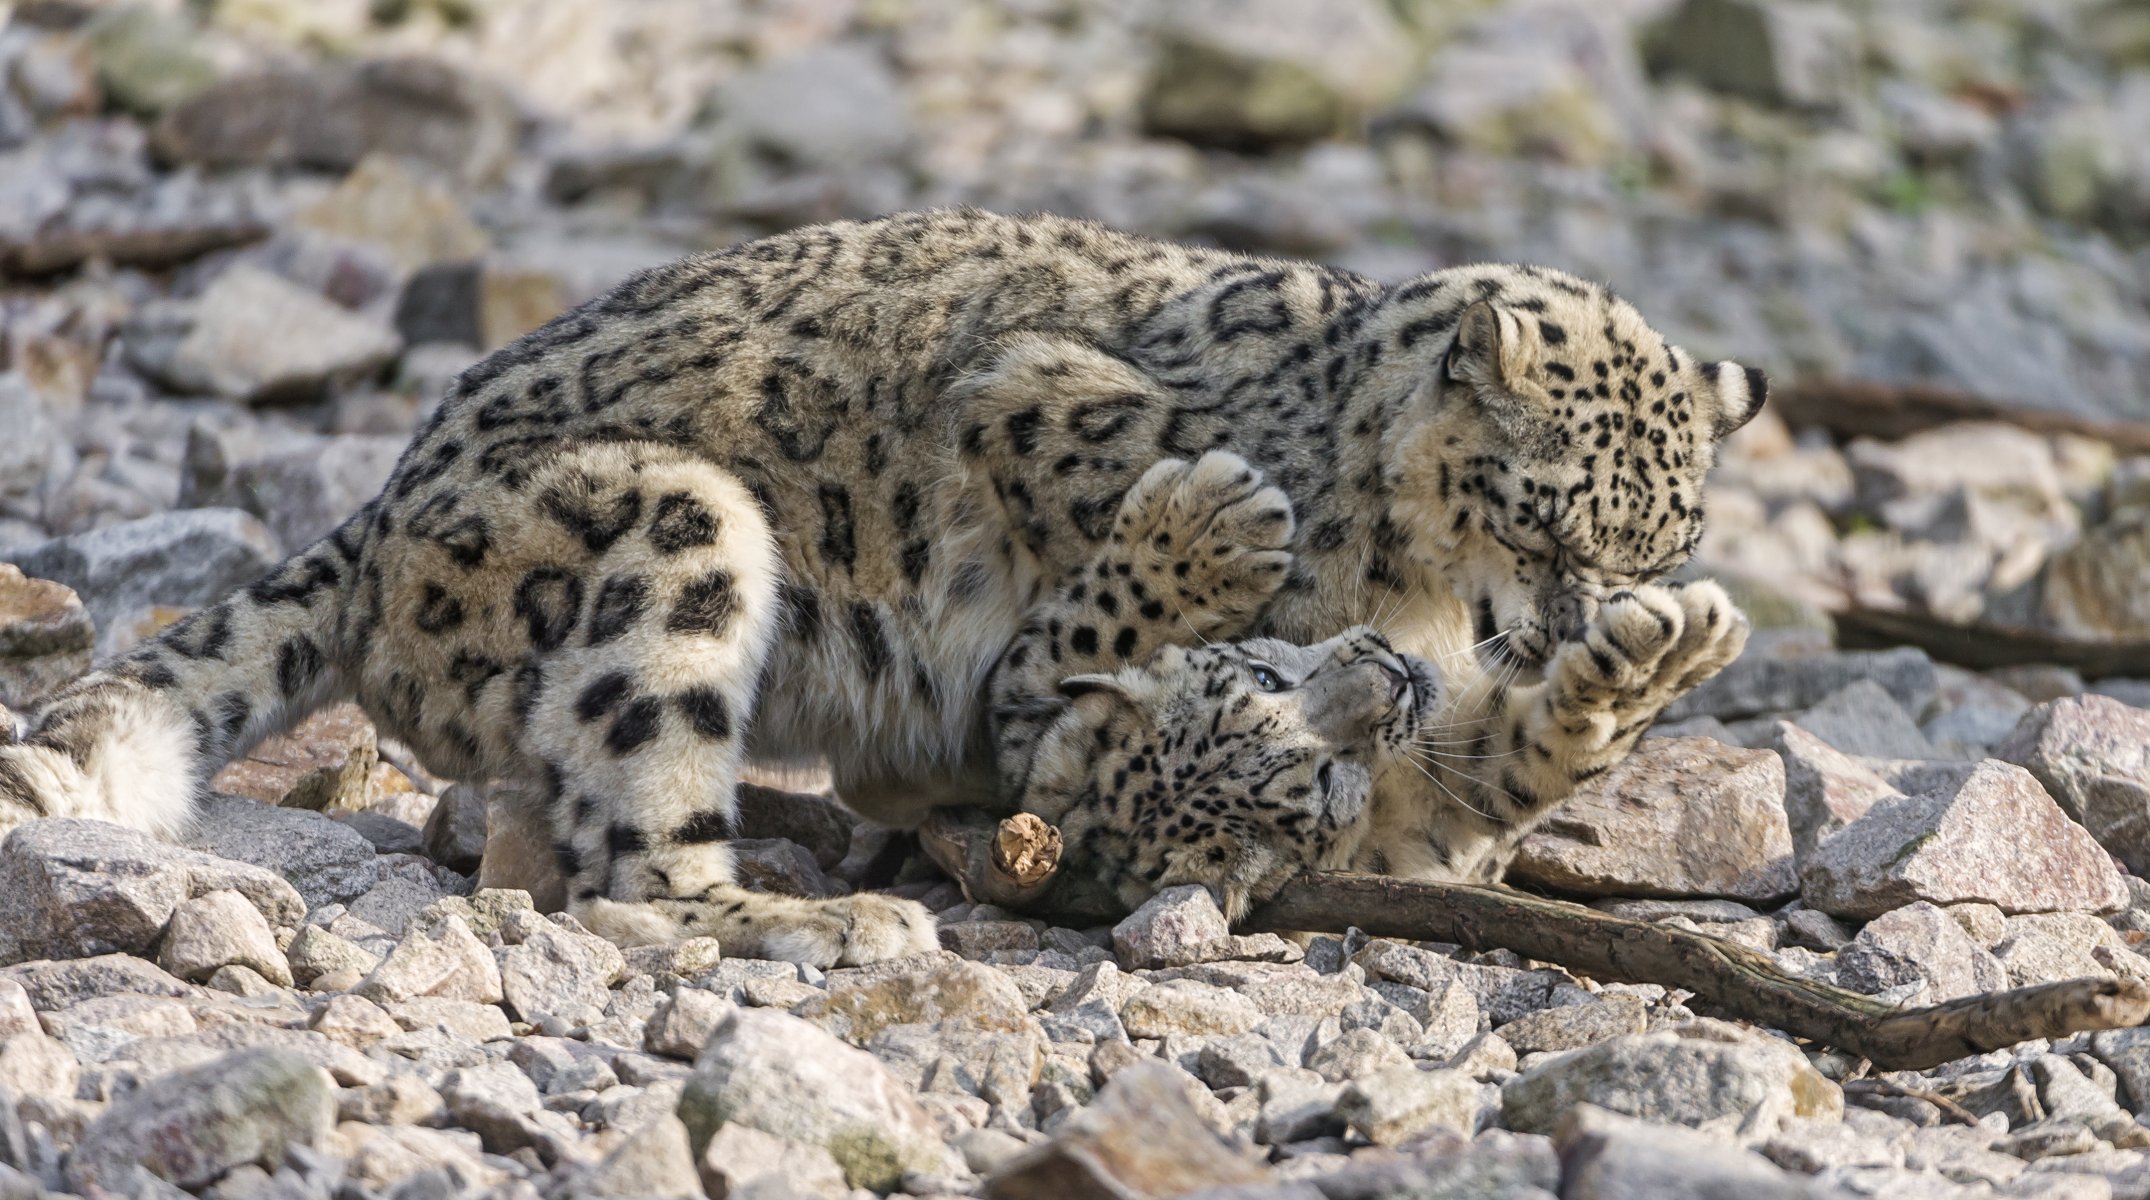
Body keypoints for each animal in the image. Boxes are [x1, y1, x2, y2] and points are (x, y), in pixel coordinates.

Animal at [0, 207, 1764, 965]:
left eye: (1654, 540)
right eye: (1550, 528)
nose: (1563, 618)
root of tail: (378, 513)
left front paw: (1658, 653)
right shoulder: (1044, 427)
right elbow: (1087, 606)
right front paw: (1219, 523)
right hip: (669, 529)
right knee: (631, 834)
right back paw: (789, 910)